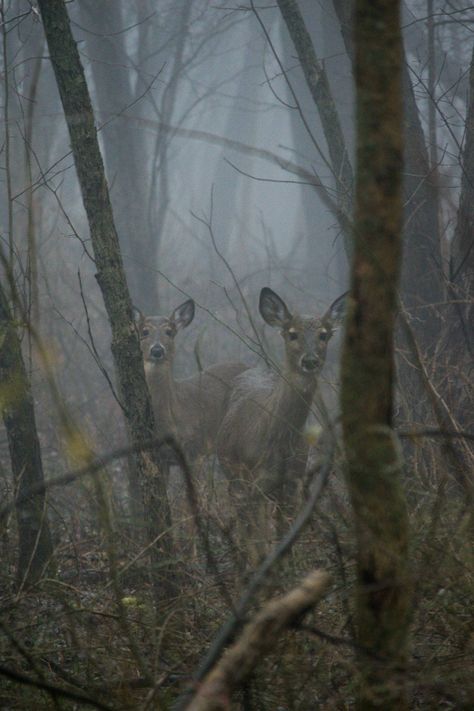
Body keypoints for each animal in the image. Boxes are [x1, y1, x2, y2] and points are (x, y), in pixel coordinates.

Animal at [217, 286, 346, 560]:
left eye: (324, 334)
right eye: (292, 333)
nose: (310, 361)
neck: (279, 441)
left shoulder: (292, 482)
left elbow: (283, 539)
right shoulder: (253, 481)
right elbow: (259, 541)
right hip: (232, 473)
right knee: (244, 522)